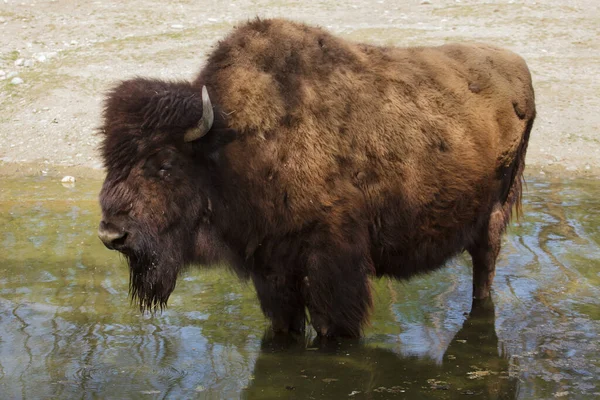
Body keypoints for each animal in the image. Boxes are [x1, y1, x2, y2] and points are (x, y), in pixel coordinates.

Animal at [97, 18, 536, 338]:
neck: (230, 145)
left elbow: (333, 326)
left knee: (484, 271)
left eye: (164, 162)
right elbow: (286, 325)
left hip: (492, 218)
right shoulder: (272, 271)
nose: (111, 234)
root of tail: (520, 67)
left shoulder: (333, 266)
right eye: (109, 160)